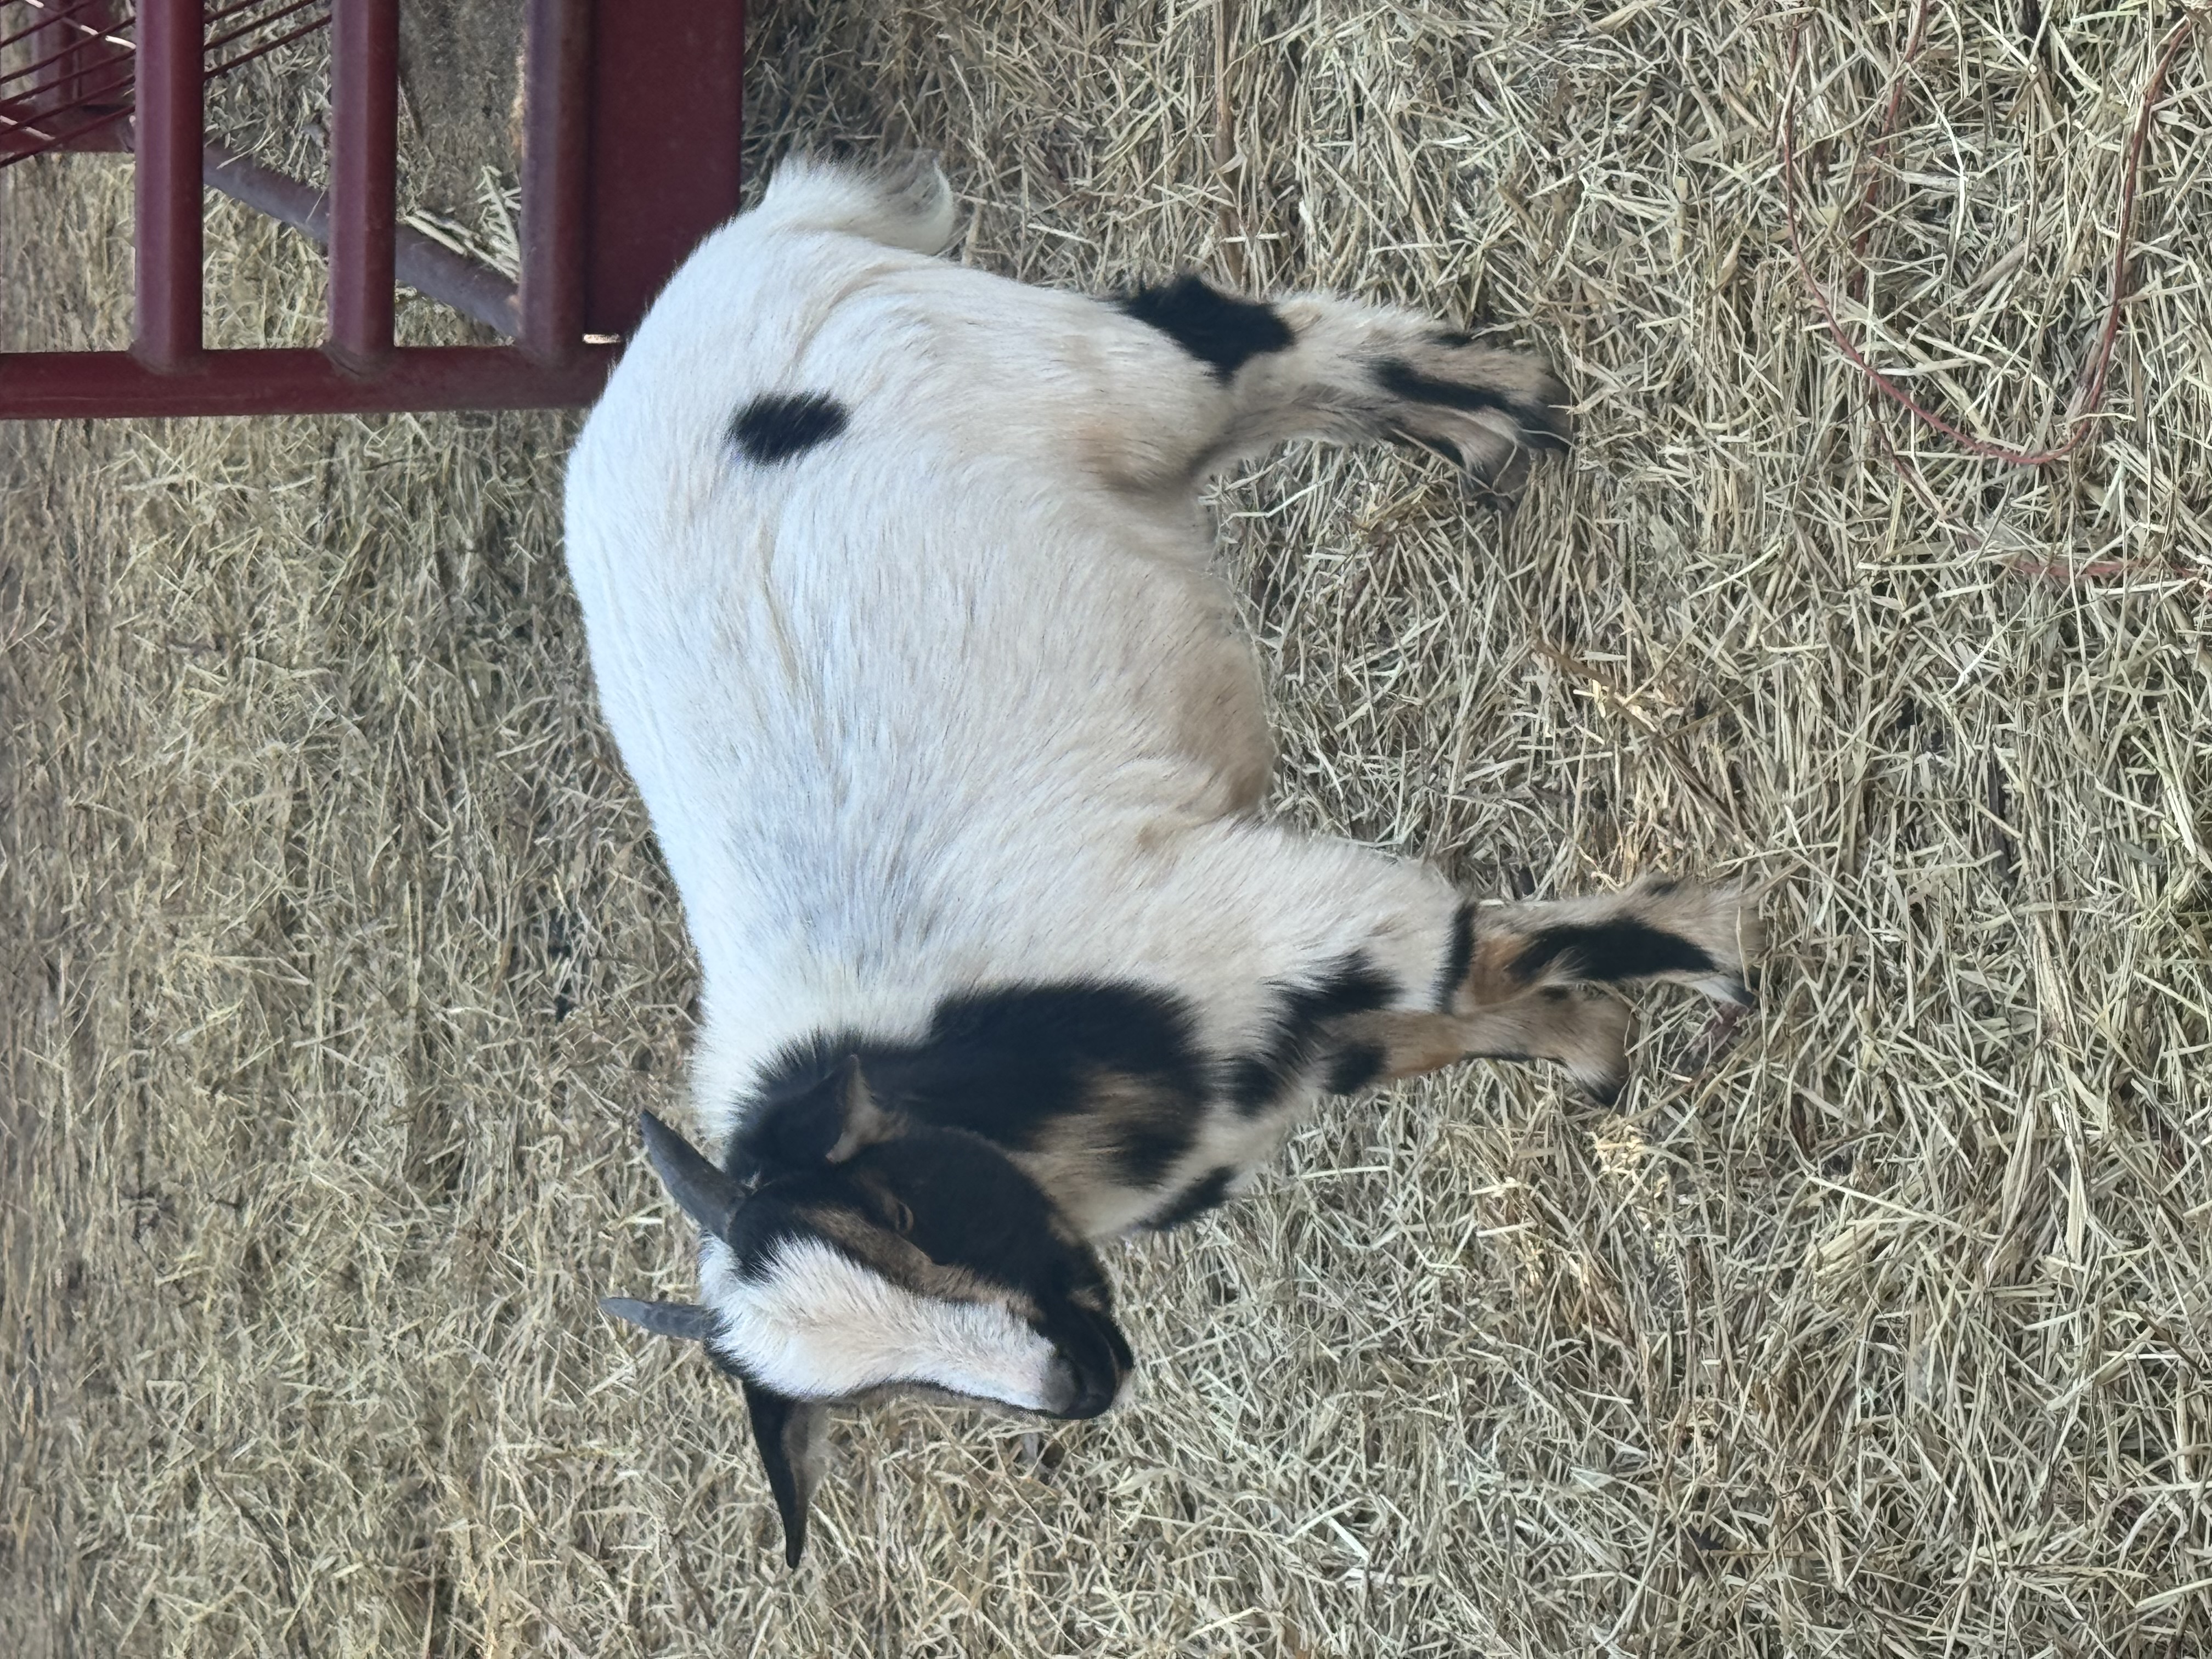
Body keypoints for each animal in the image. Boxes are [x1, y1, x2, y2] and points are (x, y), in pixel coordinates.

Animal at [573, 153, 1755, 1567]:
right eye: (870, 1397)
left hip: (1085, 368)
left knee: (1244, 337)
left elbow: (1474, 955)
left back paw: (1509, 400)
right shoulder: (1284, 1041)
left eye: (898, 1218)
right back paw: (1482, 438)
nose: (1076, 1380)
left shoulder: (1267, 914)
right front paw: (1595, 1049)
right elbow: (1440, 1029)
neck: (974, 1087)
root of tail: (747, 246)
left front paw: (1723, 948)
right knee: (1283, 386)